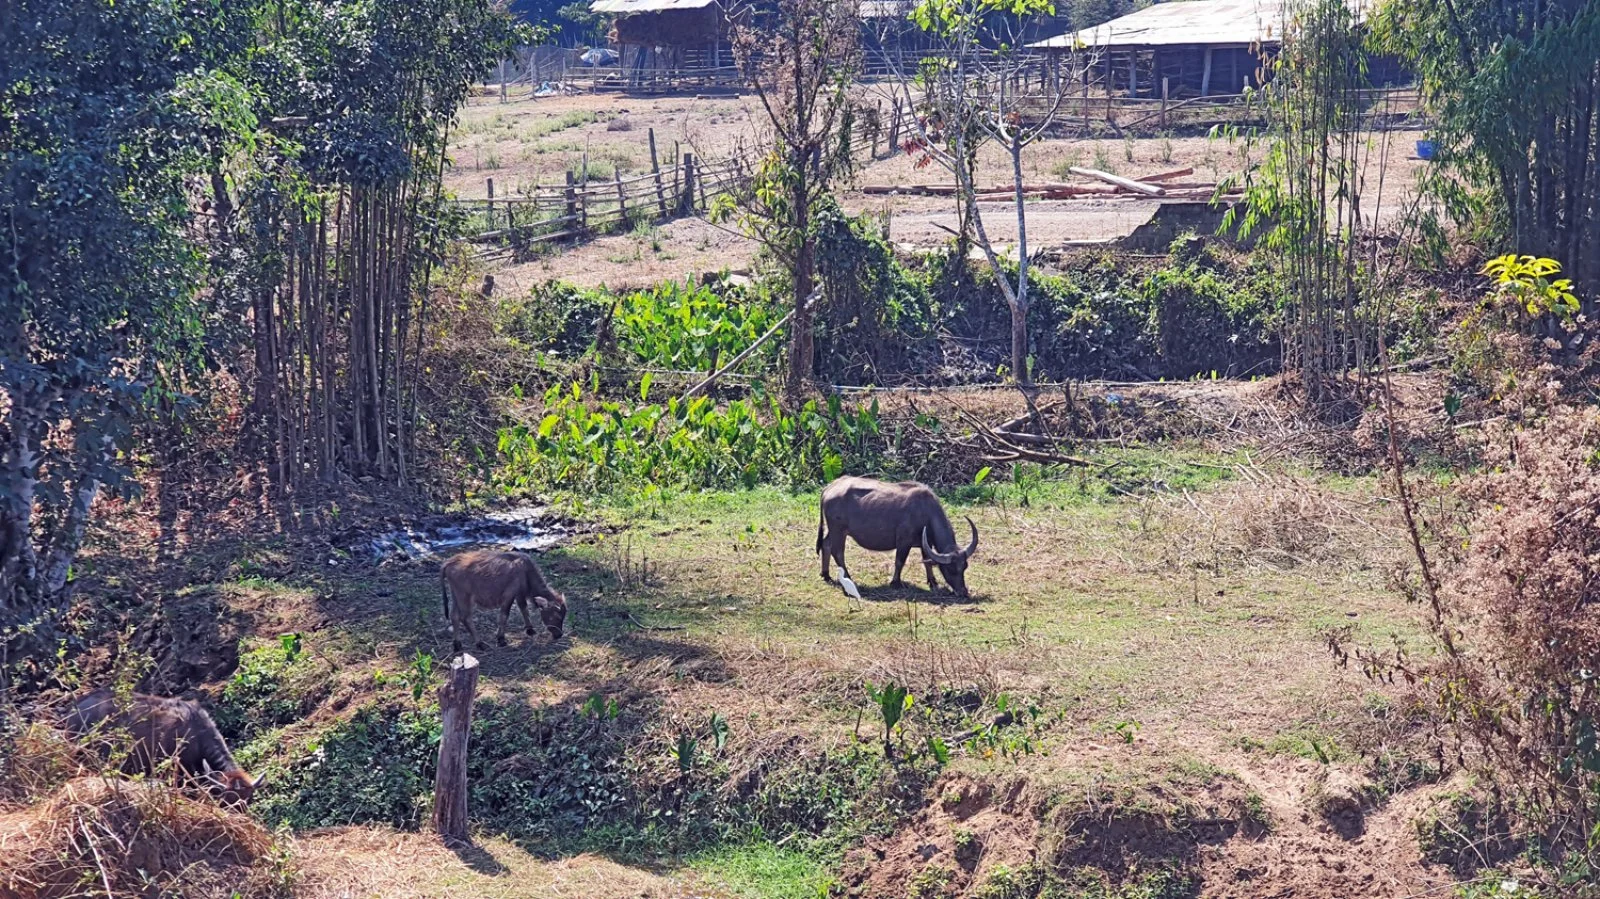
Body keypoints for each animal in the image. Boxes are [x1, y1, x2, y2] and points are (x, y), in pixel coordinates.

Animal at [819, 476, 979, 595]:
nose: (963, 592)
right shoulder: (904, 542)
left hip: (834, 531)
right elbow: (899, 561)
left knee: (826, 544)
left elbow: (927, 562)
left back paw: (826, 574)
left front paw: (932, 582)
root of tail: (829, 488)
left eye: (964, 566)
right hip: (838, 530)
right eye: (950, 569)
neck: (925, 512)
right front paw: (896, 582)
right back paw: (847, 576)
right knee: (838, 552)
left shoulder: (925, 543)